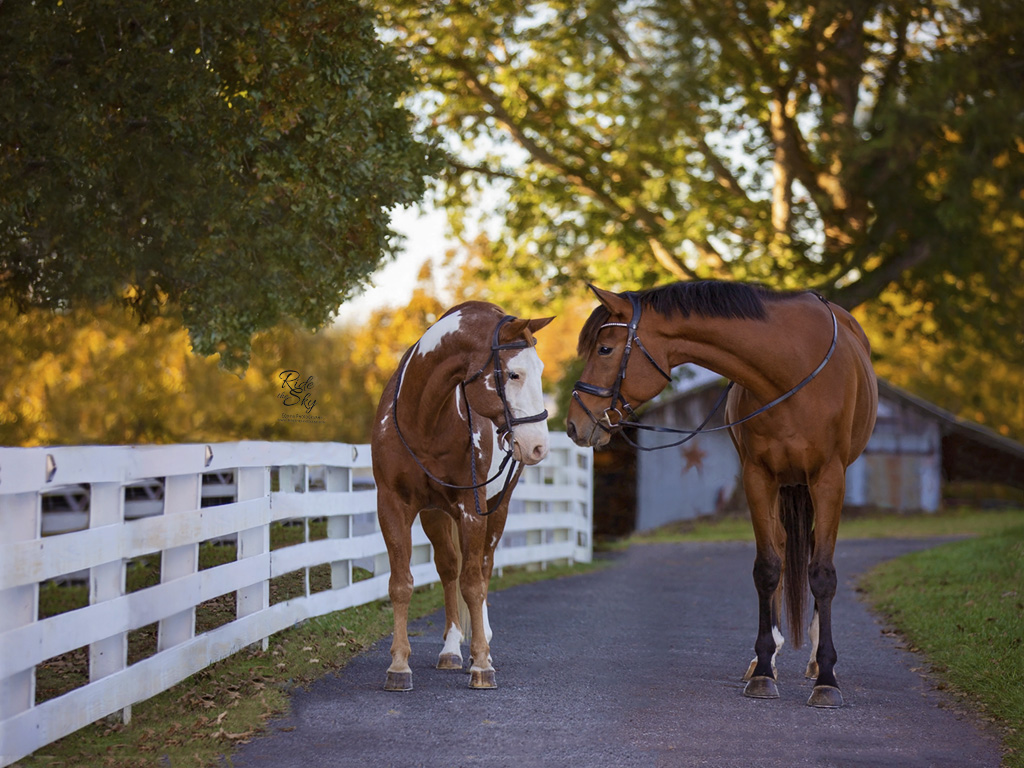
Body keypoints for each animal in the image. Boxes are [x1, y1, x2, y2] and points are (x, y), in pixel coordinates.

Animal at [374, 301, 557, 692]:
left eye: (540, 370)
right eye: (514, 374)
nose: (538, 446)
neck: (424, 420)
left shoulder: (471, 510)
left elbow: (473, 584)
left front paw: (482, 664)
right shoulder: (393, 505)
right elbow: (401, 583)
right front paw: (399, 665)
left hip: (497, 509)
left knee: (482, 569)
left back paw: (478, 645)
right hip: (436, 515)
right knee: (448, 568)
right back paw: (451, 648)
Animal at [565, 282, 876, 708]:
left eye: (606, 349)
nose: (573, 424)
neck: (792, 370)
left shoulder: (829, 479)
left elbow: (822, 574)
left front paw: (827, 677)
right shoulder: (757, 478)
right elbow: (767, 568)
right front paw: (763, 671)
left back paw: (814, 661)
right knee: (782, 547)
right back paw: (770, 656)